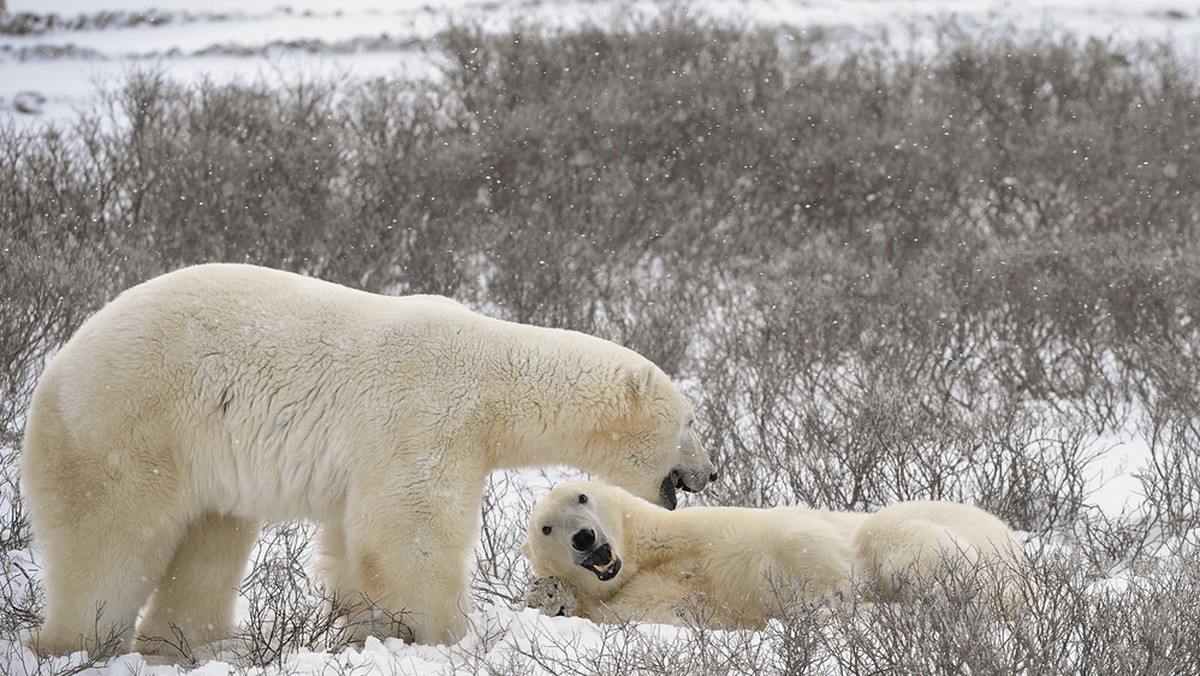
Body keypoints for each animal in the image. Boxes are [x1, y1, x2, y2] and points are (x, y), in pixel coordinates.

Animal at [21, 262, 710, 657]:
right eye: (692, 422)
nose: (710, 473)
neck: (492, 374)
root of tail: (55, 368)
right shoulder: (426, 417)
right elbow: (411, 530)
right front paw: (451, 636)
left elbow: (354, 541)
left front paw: (366, 629)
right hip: (129, 427)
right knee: (110, 543)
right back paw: (76, 643)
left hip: (201, 457)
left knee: (211, 538)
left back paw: (200, 644)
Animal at [523, 480, 1032, 629]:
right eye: (547, 527)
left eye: (582, 498)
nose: (583, 538)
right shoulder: (635, 595)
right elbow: (675, 610)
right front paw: (550, 595)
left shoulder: (701, 530)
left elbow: (790, 536)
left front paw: (832, 599)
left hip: (955, 538)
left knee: (891, 539)